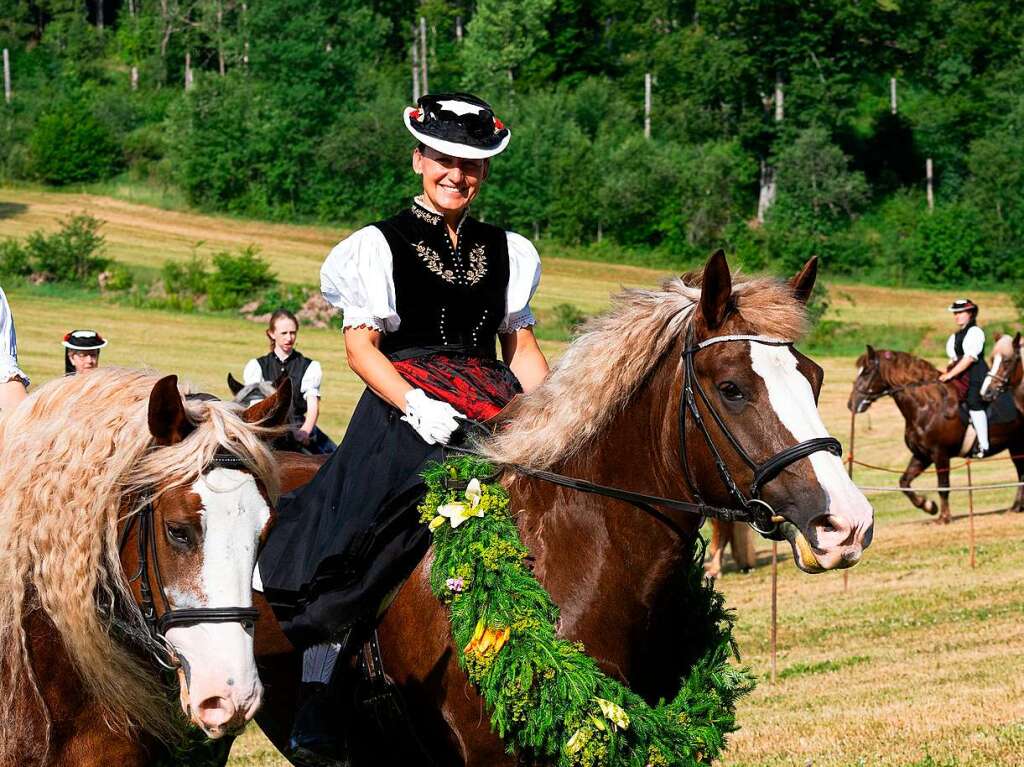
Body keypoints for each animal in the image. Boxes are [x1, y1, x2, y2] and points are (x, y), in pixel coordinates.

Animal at [847, 346, 1024, 520]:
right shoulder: (922, 455)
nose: (852, 404)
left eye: (866, 372)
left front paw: (944, 516)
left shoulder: (940, 455)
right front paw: (929, 506)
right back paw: (1016, 507)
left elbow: (943, 486)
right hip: (1015, 446)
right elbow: (904, 482)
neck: (926, 407)